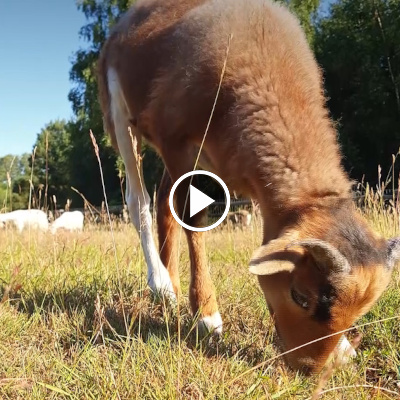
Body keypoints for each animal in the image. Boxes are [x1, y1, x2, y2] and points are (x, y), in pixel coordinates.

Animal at [97, 0, 400, 374]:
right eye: (300, 296)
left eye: (360, 311)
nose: (308, 370)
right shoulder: (175, 140)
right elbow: (193, 220)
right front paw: (206, 314)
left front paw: (343, 347)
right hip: (120, 115)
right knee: (138, 201)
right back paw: (161, 284)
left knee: (163, 201)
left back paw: (172, 285)